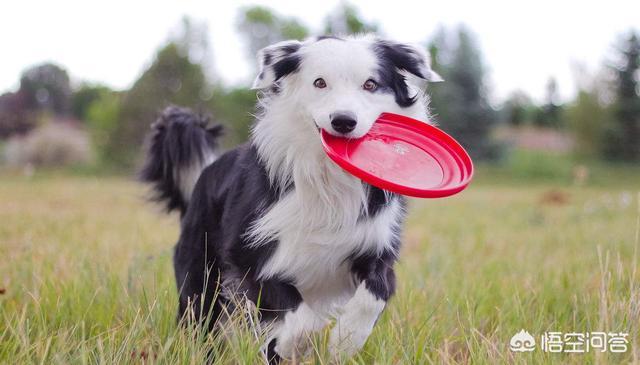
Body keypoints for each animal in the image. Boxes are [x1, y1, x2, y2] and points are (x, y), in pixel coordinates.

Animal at [141, 33, 440, 362]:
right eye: (320, 82)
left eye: (371, 84)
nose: (343, 121)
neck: (328, 179)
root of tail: (206, 171)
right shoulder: (248, 256)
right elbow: (300, 319)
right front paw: (293, 344)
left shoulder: (376, 246)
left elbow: (375, 293)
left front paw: (344, 341)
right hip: (201, 274)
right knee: (199, 323)